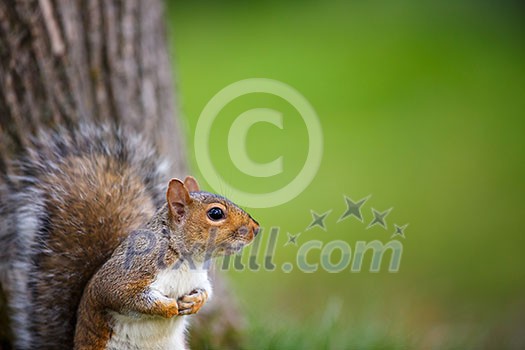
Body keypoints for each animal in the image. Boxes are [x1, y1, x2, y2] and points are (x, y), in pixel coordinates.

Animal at [0, 124, 260, 348]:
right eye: (215, 213)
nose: (256, 228)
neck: (186, 259)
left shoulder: (199, 278)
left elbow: (206, 290)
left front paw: (195, 303)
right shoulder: (129, 273)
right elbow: (123, 296)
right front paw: (169, 307)